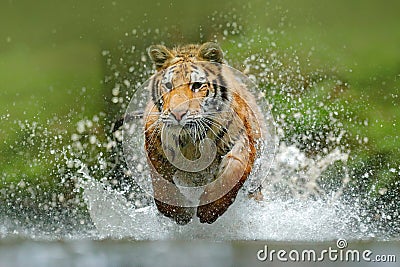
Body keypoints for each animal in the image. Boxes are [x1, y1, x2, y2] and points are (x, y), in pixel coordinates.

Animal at [144, 42, 266, 226]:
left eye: (196, 85)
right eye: (169, 86)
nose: (177, 114)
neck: (190, 142)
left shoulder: (242, 140)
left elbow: (232, 172)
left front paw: (209, 210)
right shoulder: (153, 142)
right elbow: (161, 185)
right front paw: (179, 213)